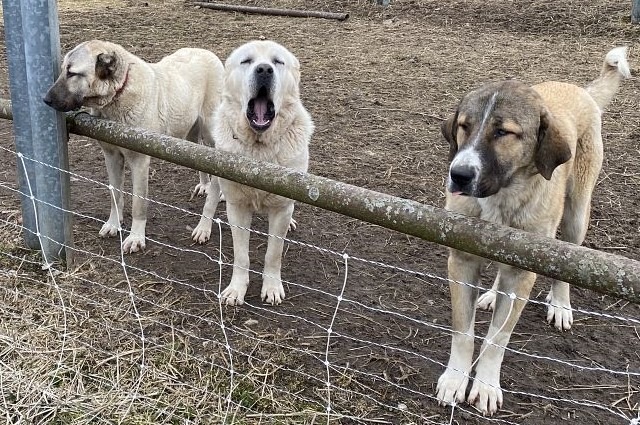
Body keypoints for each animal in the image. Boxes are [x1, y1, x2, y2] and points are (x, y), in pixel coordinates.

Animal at [195, 39, 316, 304]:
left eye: (278, 61)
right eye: (247, 61)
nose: (264, 70)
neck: (259, 150)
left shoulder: (281, 208)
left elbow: (273, 254)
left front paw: (271, 288)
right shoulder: (238, 208)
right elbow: (242, 255)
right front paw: (236, 290)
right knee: (210, 200)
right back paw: (203, 227)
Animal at [436, 47, 632, 414]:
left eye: (503, 133)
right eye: (464, 127)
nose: (459, 175)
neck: (501, 196)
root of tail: (578, 89)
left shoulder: (524, 271)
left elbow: (497, 338)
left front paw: (485, 385)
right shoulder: (462, 259)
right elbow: (464, 332)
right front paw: (455, 380)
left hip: (575, 216)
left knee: (567, 265)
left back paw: (561, 305)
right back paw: (491, 294)